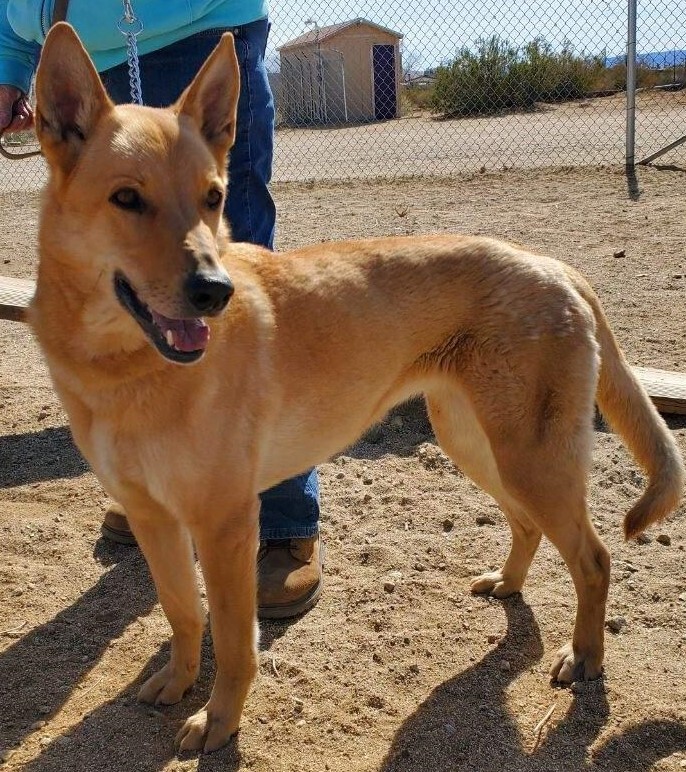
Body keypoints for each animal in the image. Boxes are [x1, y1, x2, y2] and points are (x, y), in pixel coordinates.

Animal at [29, 24, 684, 752]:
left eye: (213, 197)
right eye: (126, 198)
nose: (214, 292)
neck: (124, 368)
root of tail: (555, 265)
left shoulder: (225, 523)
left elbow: (232, 641)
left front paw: (220, 720)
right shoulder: (154, 519)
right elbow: (181, 614)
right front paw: (177, 683)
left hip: (530, 458)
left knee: (593, 558)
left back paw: (586, 656)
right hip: (480, 445)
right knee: (528, 525)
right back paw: (509, 585)